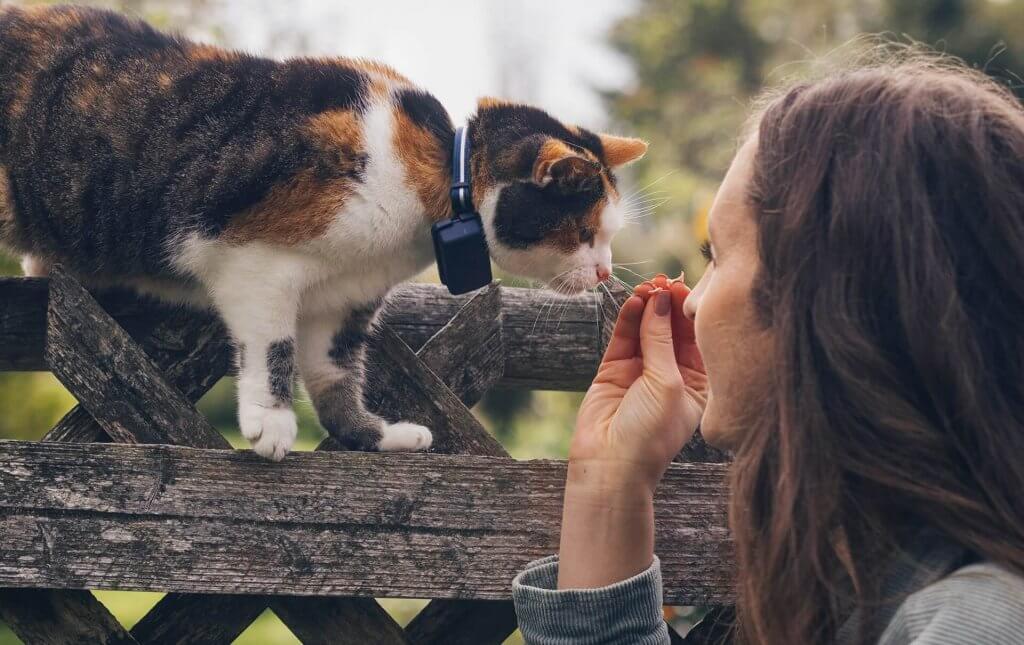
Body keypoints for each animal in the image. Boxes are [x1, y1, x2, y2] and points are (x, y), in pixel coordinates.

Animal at [0, 5, 647, 460]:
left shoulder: (346, 298)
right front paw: (271, 421)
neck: (439, 175)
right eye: (585, 231)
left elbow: (333, 370)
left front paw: (373, 435)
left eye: (605, 234)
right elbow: (274, 345)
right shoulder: (254, 262)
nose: (604, 269)